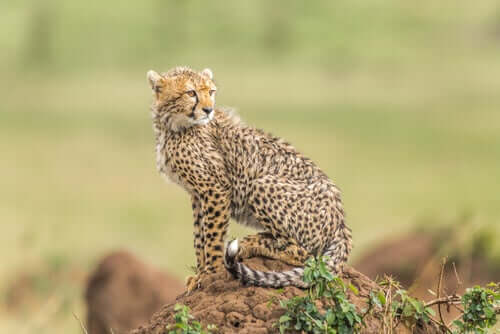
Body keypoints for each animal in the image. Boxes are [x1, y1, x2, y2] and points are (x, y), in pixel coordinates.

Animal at [146, 66, 354, 290]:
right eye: (191, 93)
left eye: (210, 91)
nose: (208, 110)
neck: (173, 126)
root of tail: (341, 223)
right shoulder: (197, 194)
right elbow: (199, 237)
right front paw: (199, 274)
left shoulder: (216, 189)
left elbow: (212, 237)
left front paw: (210, 273)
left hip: (261, 185)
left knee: (303, 254)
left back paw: (252, 245)